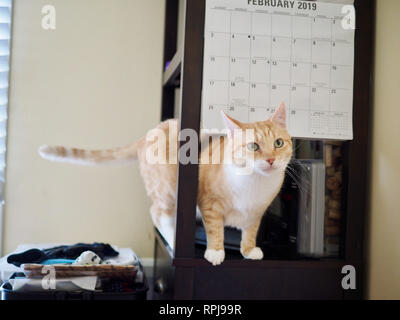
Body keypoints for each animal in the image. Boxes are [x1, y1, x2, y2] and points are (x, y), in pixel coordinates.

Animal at [39, 102, 290, 264]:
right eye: (253, 146)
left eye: (278, 143)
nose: (270, 160)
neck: (255, 184)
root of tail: (147, 135)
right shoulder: (208, 204)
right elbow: (214, 228)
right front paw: (216, 251)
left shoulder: (257, 213)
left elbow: (250, 231)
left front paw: (249, 250)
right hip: (168, 191)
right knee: (157, 213)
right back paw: (173, 241)